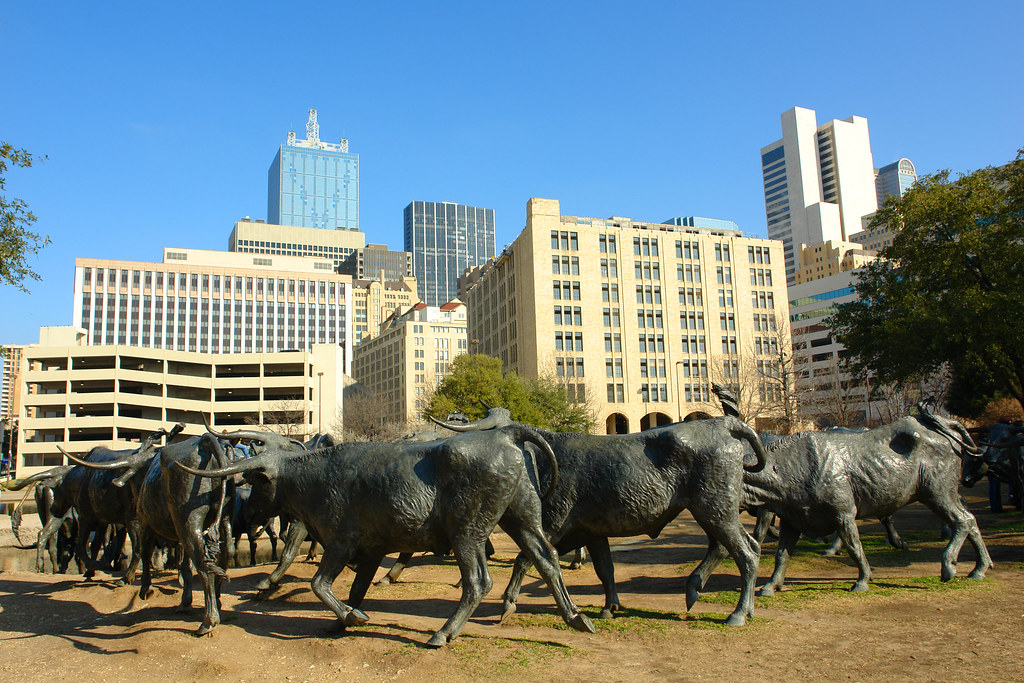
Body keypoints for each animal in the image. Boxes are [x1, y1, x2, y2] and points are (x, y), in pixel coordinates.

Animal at [178, 424, 597, 647]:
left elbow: (319, 584)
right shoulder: (372, 550)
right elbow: (355, 588)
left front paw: (352, 617)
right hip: (522, 516)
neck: (315, 477)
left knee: (479, 581)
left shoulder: (341, 543)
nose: (245, 514)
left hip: (468, 531)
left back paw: (443, 633)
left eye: (255, 480)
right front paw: (344, 619)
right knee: (546, 559)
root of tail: (506, 435)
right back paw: (576, 618)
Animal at [432, 408, 768, 626]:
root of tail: (723, 424)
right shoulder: (593, 533)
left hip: (715, 509)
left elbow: (526, 559)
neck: (542, 455)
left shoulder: (552, 525)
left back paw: (738, 613)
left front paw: (508, 603)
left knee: (746, 551)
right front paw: (610, 607)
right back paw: (697, 590)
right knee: (727, 547)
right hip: (715, 511)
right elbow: (605, 569)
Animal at [686, 406, 992, 598]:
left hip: (937, 492)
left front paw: (863, 580)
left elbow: (855, 547)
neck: (789, 469)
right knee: (971, 521)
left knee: (962, 521)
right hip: (942, 493)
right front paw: (771, 586)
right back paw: (980, 567)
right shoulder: (792, 520)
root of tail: (943, 427)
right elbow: (782, 555)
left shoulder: (844, 513)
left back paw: (949, 564)